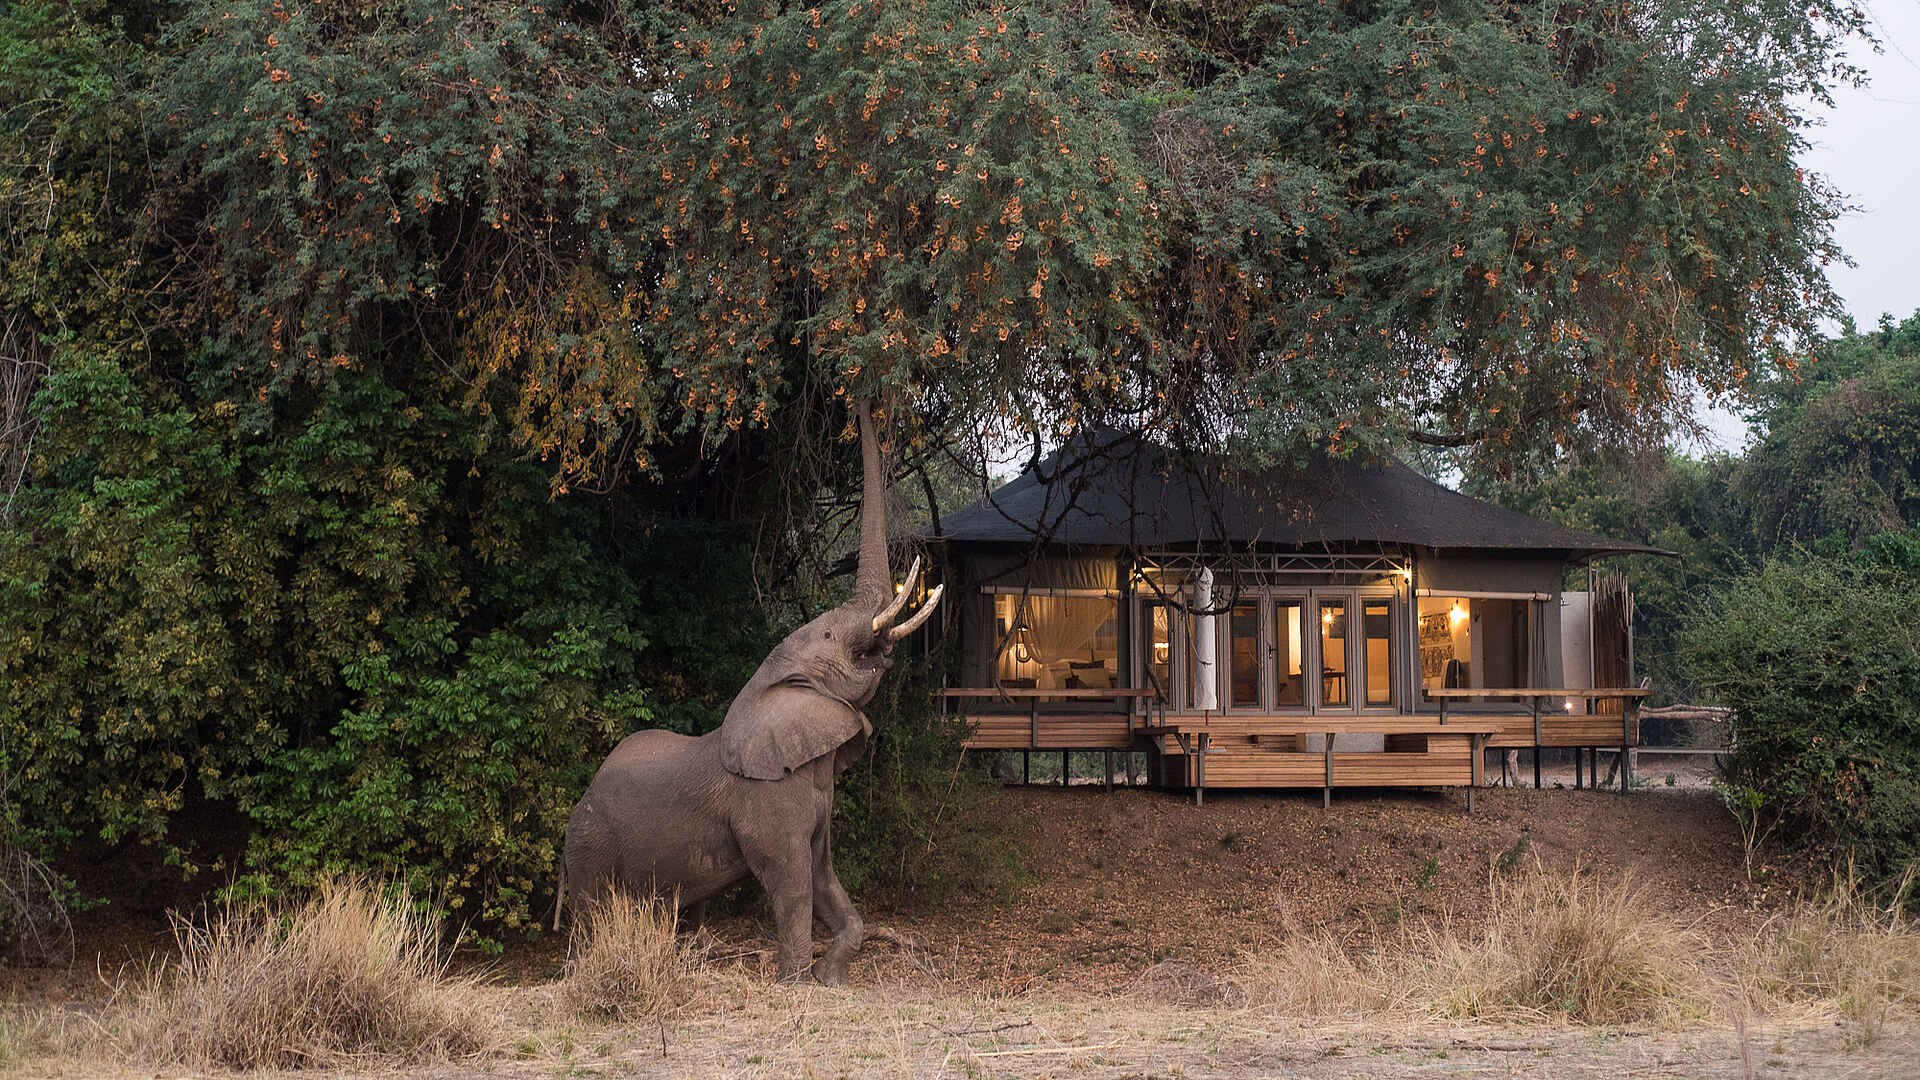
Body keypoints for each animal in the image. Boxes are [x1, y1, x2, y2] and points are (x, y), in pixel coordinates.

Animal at [557, 402, 941, 984]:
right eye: (828, 636)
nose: (859, 402)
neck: (771, 684)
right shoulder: (766, 799)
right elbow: (792, 880)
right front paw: (795, 981)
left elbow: (823, 874)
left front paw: (830, 975)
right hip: (589, 844)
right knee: (593, 915)